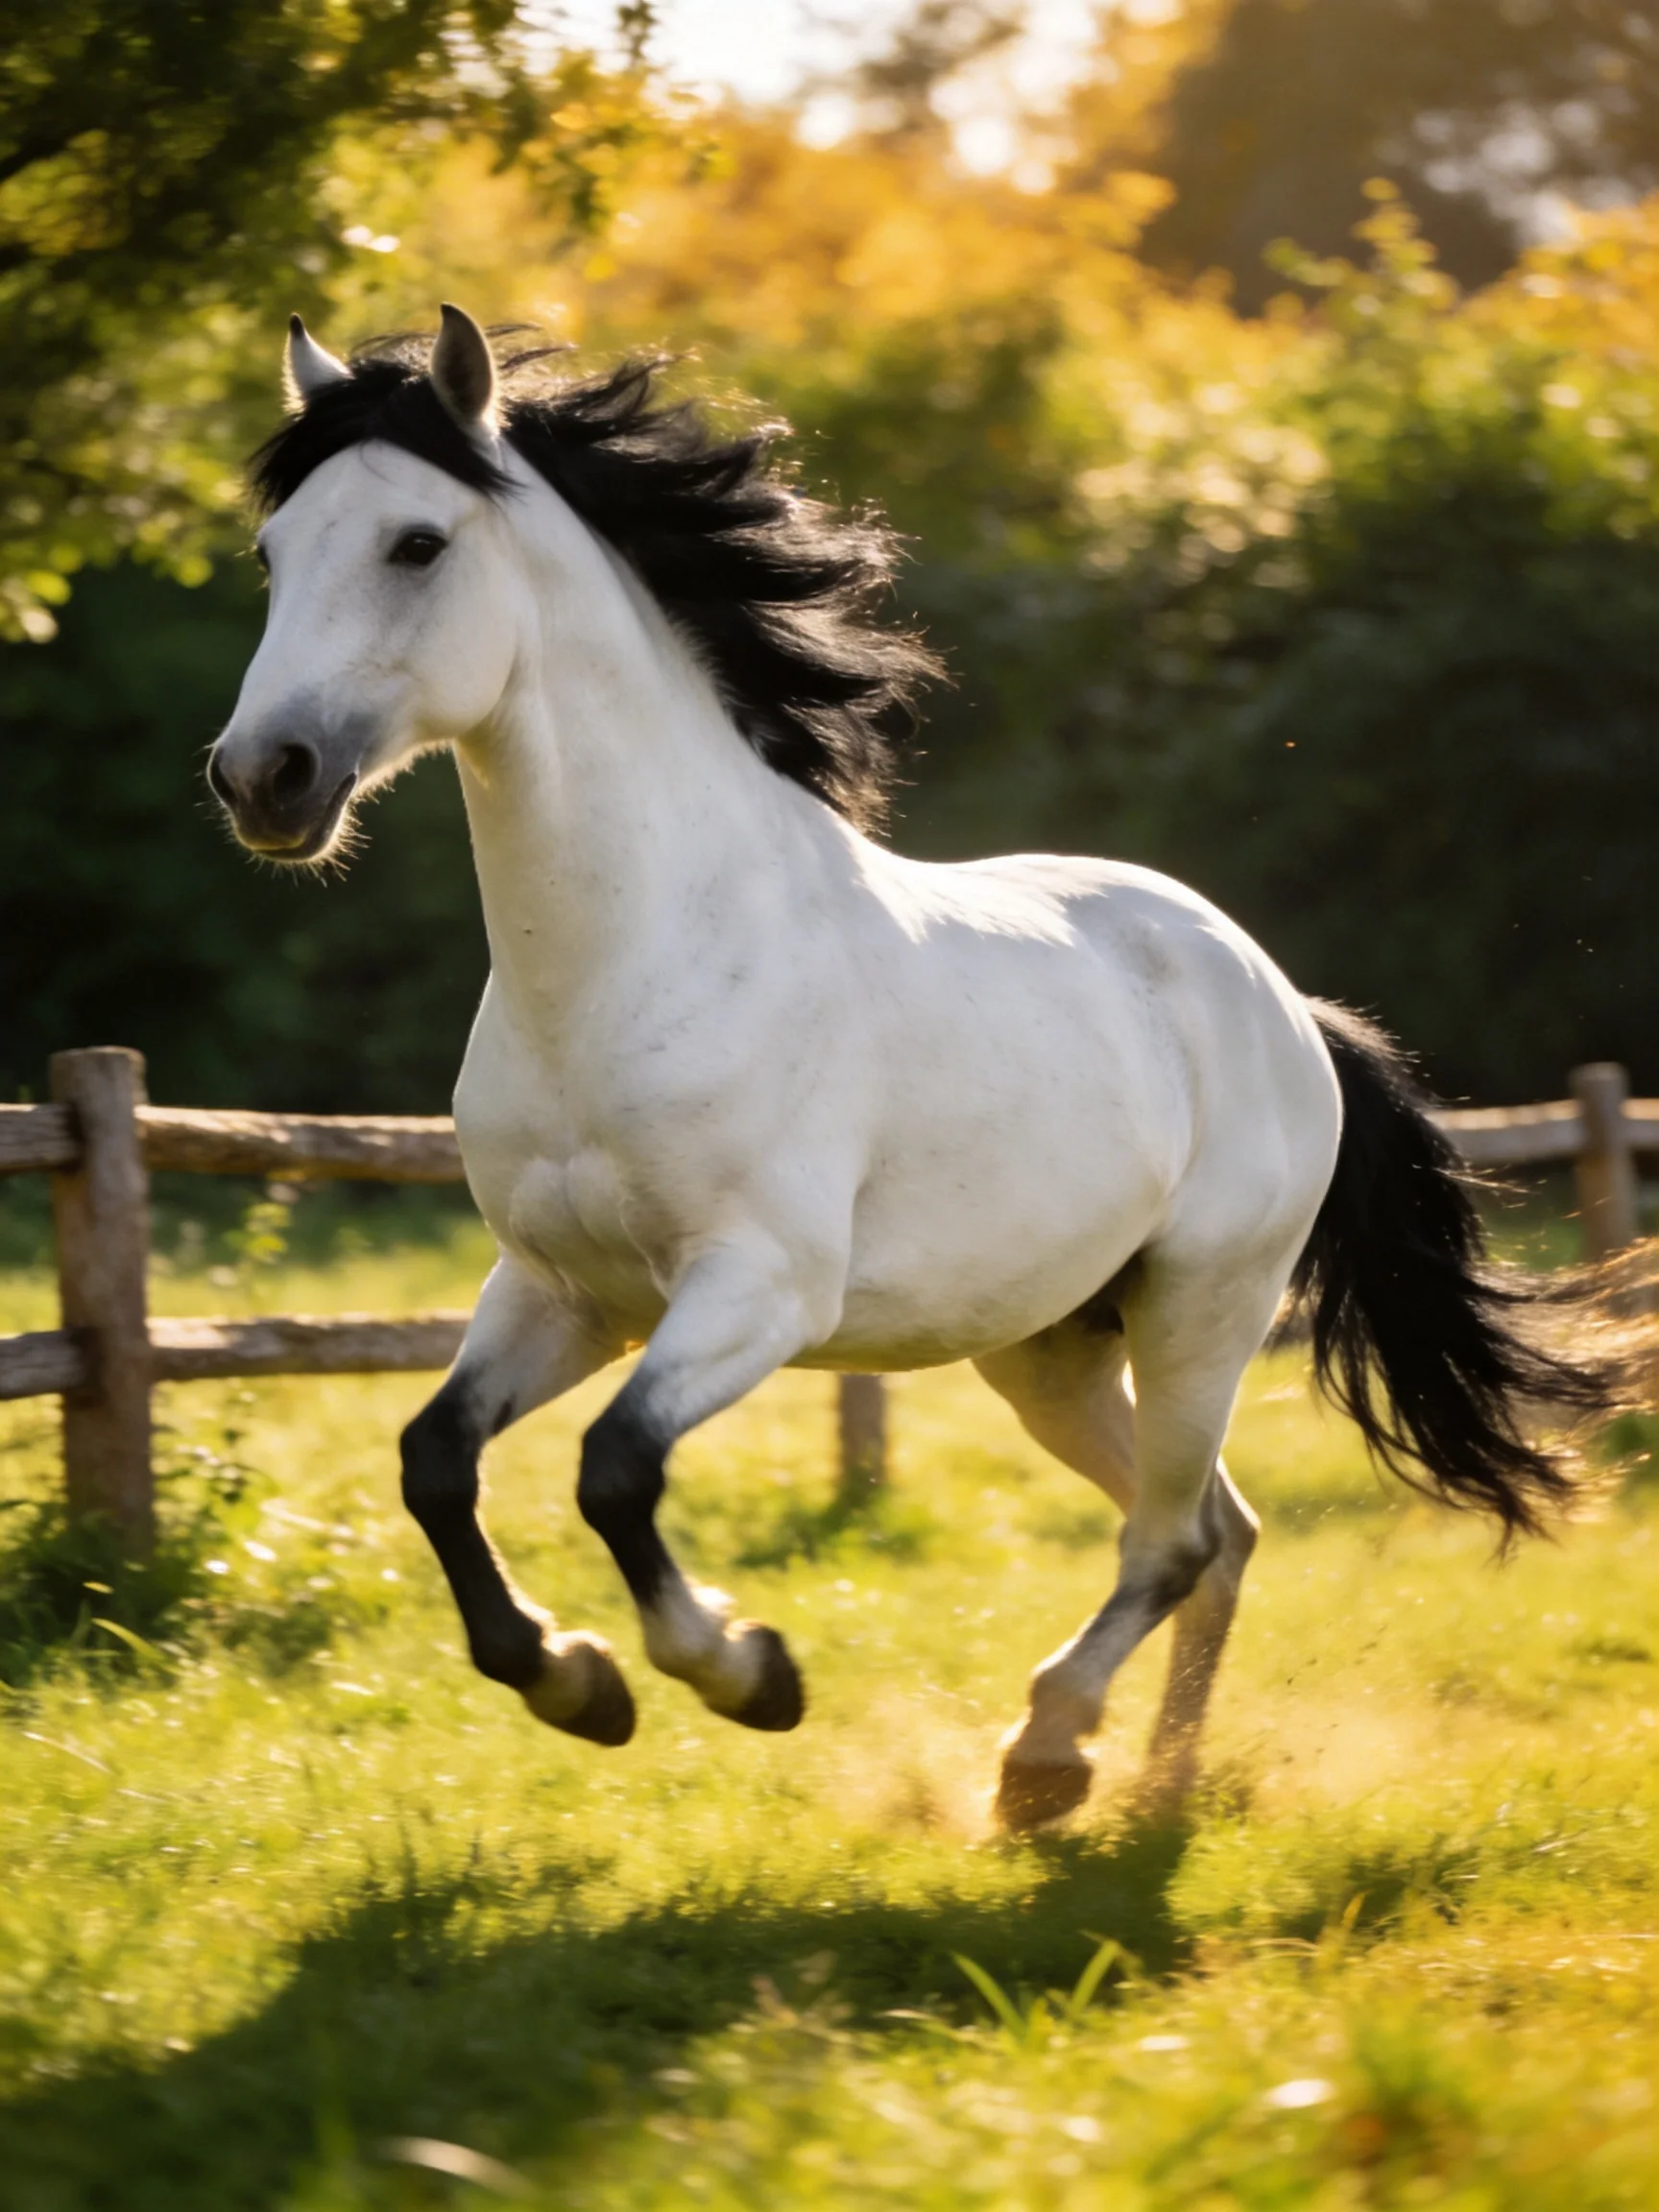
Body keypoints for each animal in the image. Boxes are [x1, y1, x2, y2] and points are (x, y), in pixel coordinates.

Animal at [207, 305, 1605, 1829]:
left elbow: (615, 1472)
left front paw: (745, 1672)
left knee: (1174, 1539)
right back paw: (1154, 1786)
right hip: (1048, 1346)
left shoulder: (758, 1289)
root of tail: (1282, 1002)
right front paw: (575, 1683)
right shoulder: (563, 1290)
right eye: (273, 555)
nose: (261, 778)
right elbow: (435, 1464)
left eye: (416, 544)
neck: (637, 956)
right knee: (1214, 1531)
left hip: (1203, 1310)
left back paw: (1049, 1759)